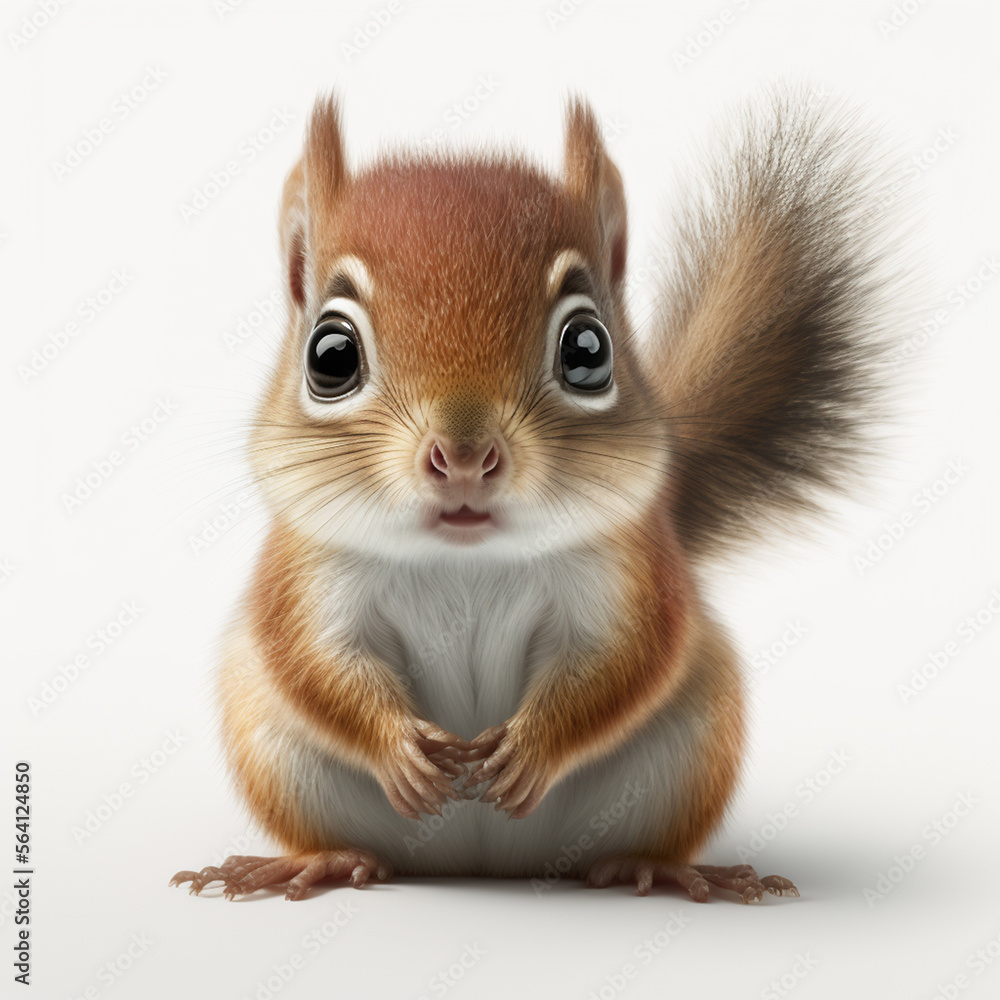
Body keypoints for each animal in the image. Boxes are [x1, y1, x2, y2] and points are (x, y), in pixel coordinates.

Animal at [171, 88, 895, 904]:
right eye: (330, 355)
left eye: (588, 349)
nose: (463, 457)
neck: (465, 561)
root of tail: (484, 867)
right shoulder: (305, 575)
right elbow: (314, 665)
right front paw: (398, 748)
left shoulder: (631, 572)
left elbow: (625, 662)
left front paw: (533, 749)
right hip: (272, 746)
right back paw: (313, 859)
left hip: (695, 738)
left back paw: (658, 868)